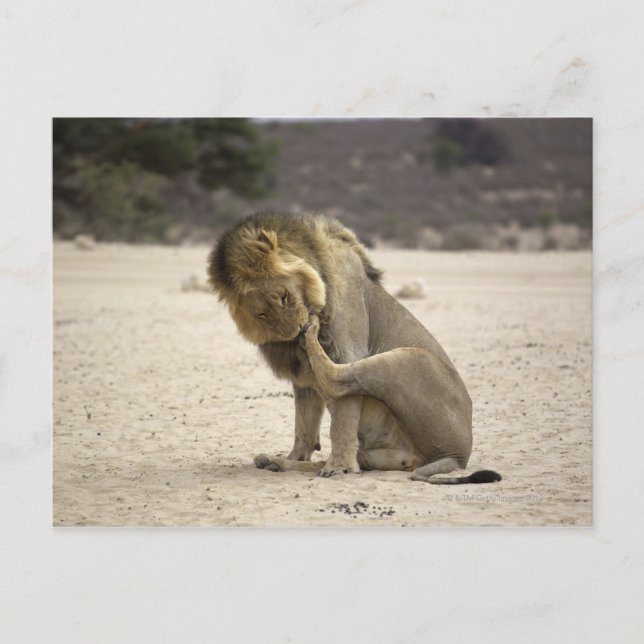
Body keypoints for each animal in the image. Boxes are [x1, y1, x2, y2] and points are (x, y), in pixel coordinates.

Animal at [208, 212, 501, 484]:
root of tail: (458, 456)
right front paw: (296, 456)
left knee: (336, 380)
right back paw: (274, 462)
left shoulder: (348, 350)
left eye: (283, 296)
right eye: (261, 314)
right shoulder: (301, 379)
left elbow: (342, 422)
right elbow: (304, 424)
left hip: (414, 359)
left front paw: (340, 468)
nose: (296, 330)